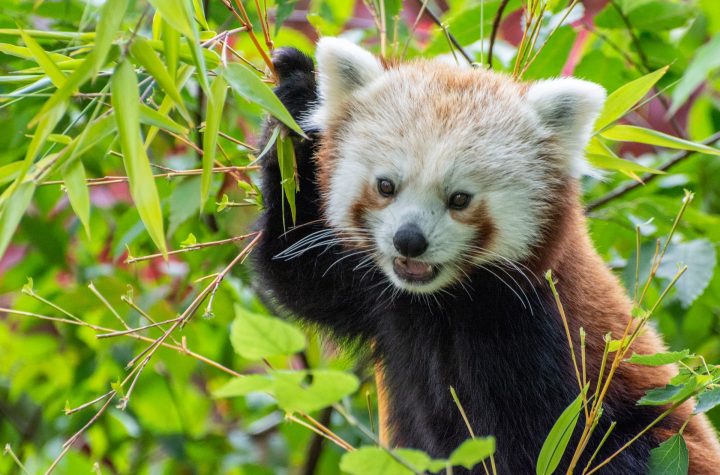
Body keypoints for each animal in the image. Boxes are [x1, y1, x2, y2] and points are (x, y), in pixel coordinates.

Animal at [252, 37, 720, 474]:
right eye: (386, 186)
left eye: (459, 199)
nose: (409, 240)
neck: (444, 304)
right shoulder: (374, 296)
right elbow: (293, 269)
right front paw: (294, 98)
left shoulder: (550, 344)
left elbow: (542, 447)